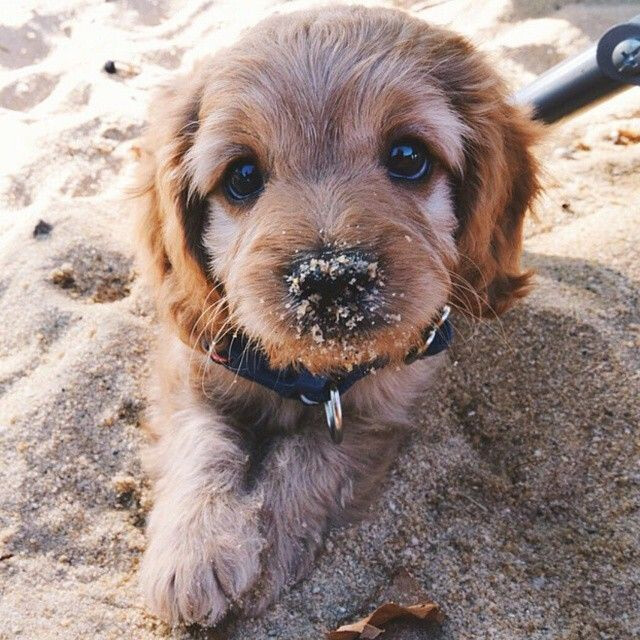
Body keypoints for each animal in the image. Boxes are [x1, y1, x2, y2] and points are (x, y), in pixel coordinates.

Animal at [134, 3, 540, 624]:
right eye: (242, 176)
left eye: (408, 157)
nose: (328, 277)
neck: (311, 374)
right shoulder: (192, 365)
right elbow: (201, 440)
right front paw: (192, 549)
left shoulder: (383, 408)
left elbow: (306, 463)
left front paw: (266, 546)